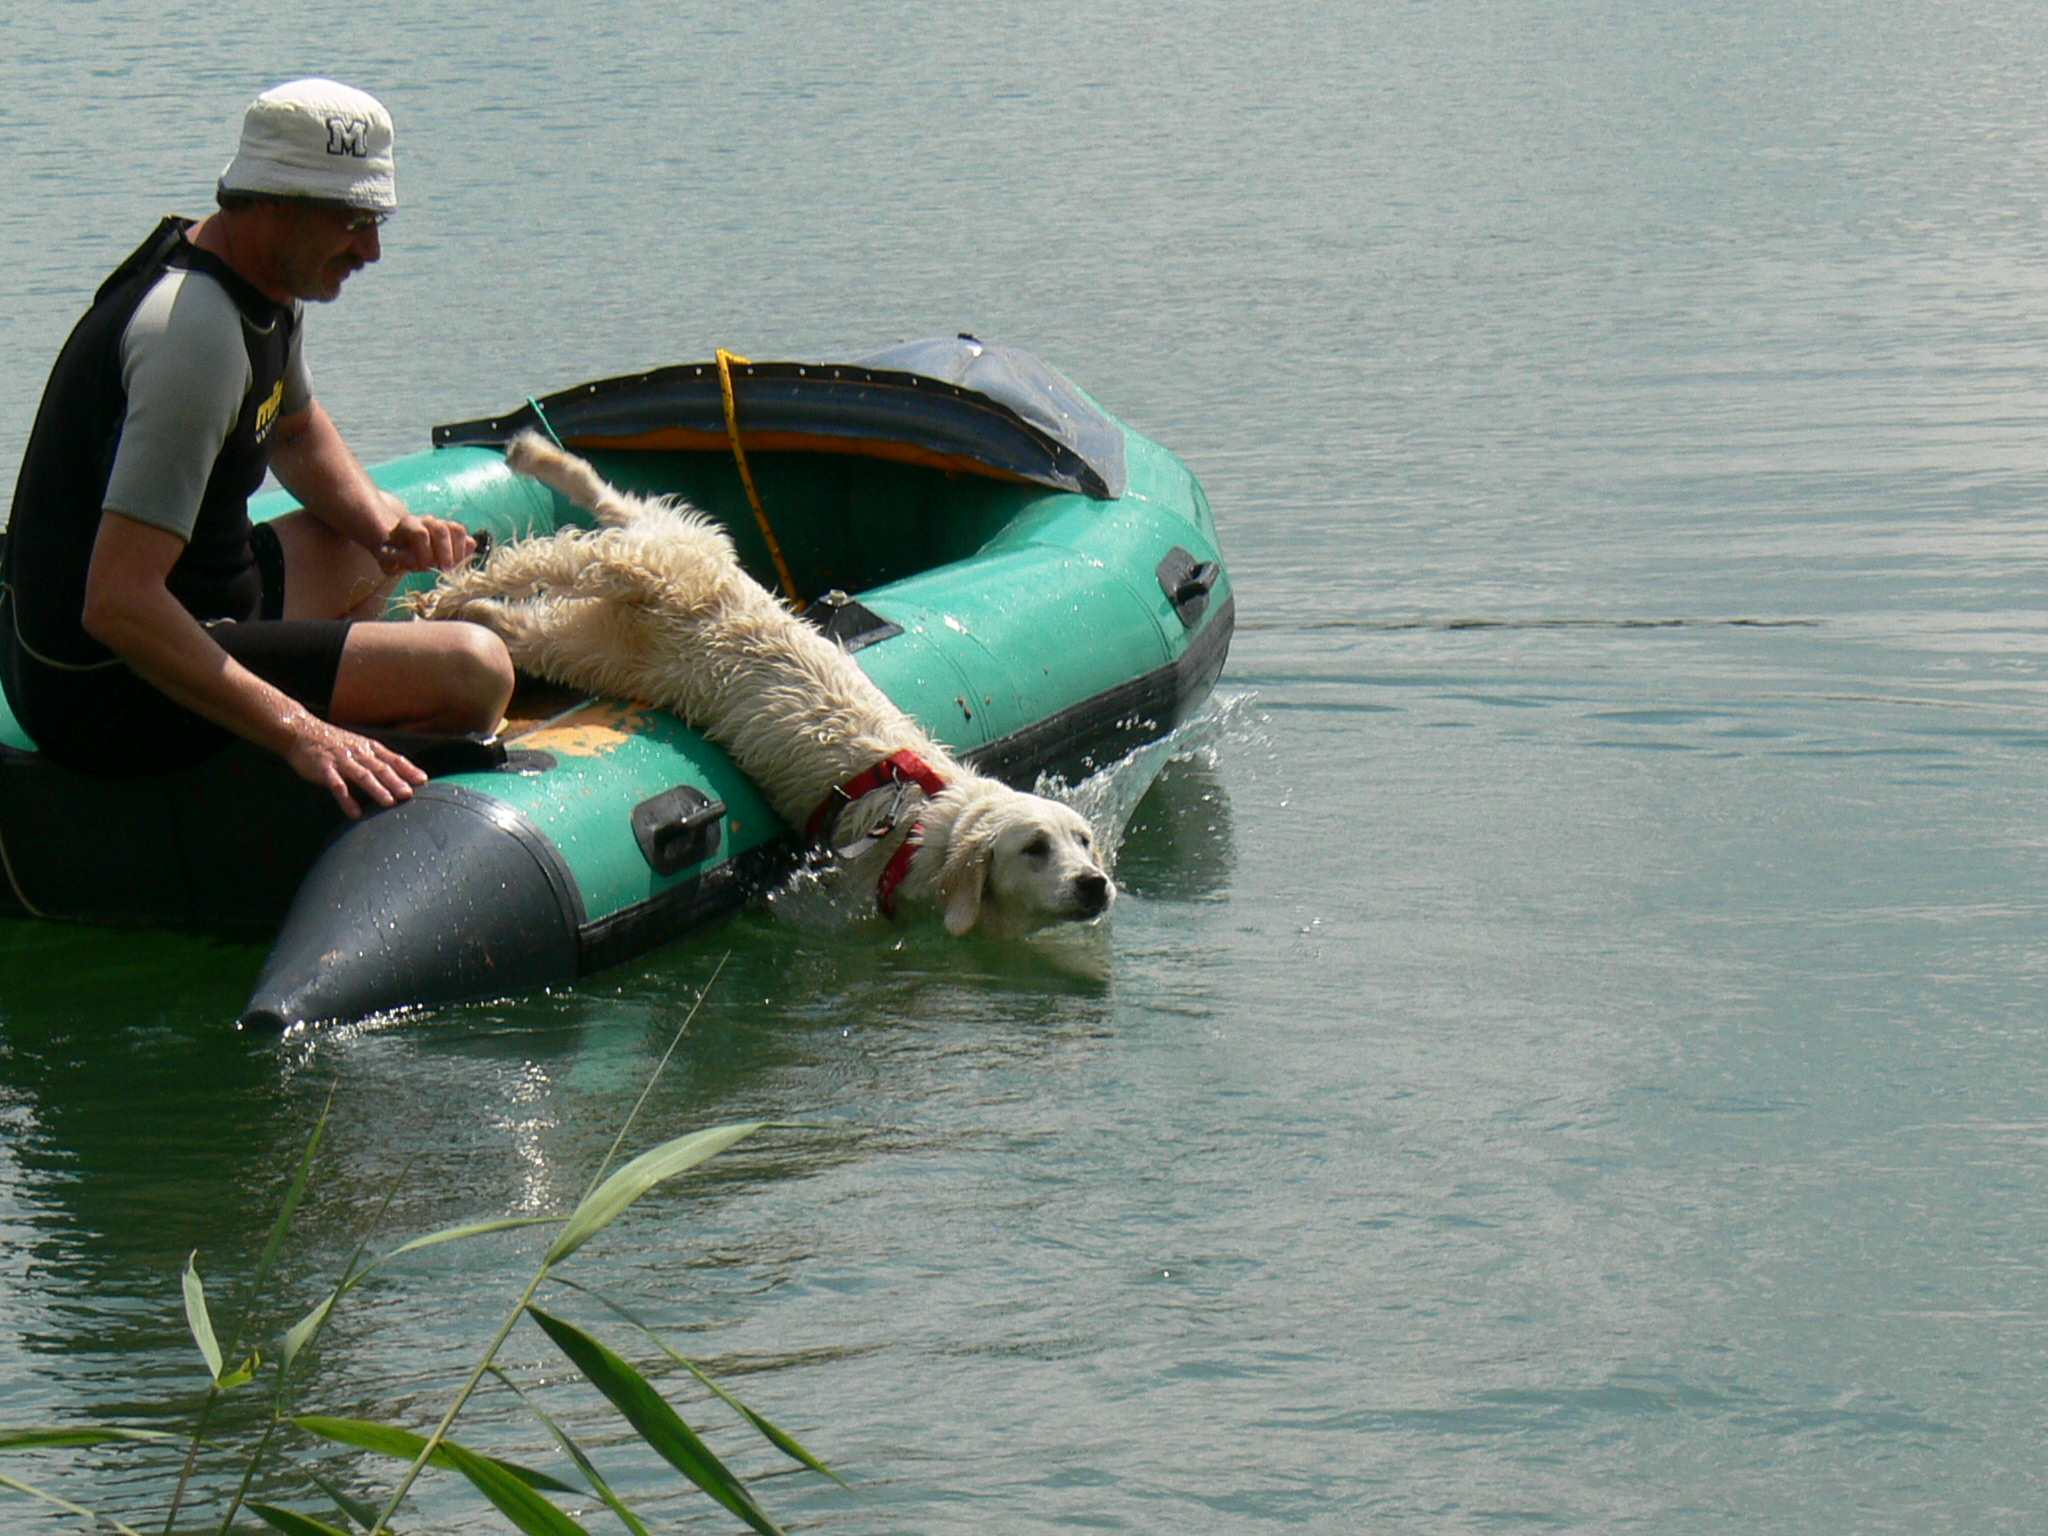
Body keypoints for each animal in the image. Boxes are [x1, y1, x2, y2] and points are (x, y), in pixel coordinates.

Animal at [409, 430, 1114, 937]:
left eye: (1084, 840)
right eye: (1034, 848)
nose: (1095, 884)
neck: (931, 827)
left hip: (595, 638)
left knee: (578, 542)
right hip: (639, 569)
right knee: (547, 552)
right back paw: (445, 589)